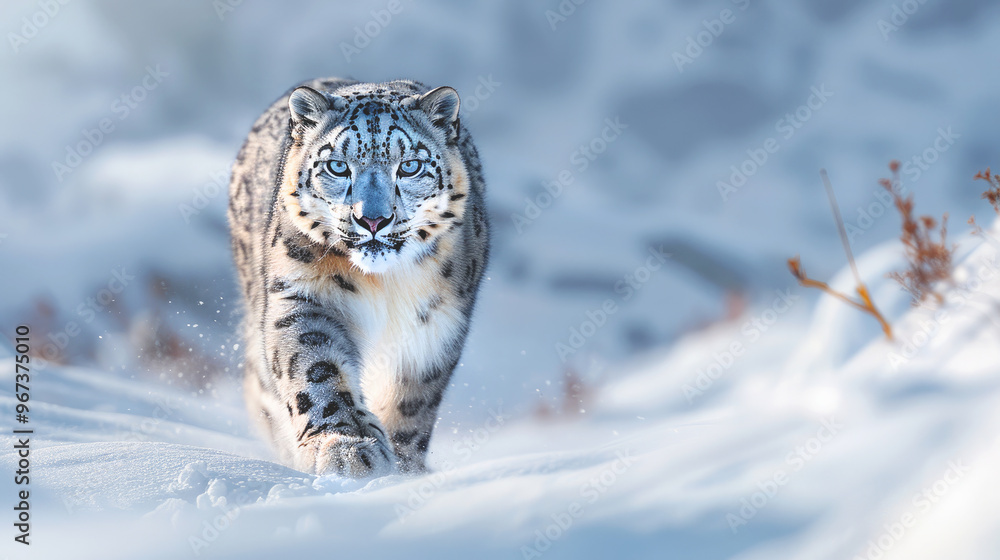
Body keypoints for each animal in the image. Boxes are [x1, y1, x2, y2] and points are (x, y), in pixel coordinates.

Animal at [227, 77, 489, 477]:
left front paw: (403, 467)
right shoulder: (303, 296)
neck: (384, 285)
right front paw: (347, 448)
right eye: (337, 166)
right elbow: (317, 368)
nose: (373, 219)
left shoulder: (434, 323)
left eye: (410, 166)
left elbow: (411, 398)